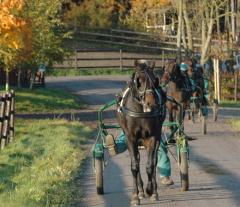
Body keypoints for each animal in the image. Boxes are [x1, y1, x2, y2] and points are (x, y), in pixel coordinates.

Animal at [116, 59, 166, 205]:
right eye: (138, 80)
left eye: (155, 80)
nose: (151, 104)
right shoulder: (130, 137)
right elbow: (134, 166)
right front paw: (135, 196)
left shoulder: (153, 136)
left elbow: (150, 165)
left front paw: (151, 191)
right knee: (137, 160)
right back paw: (140, 190)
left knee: (154, 160)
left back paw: (152, 191)